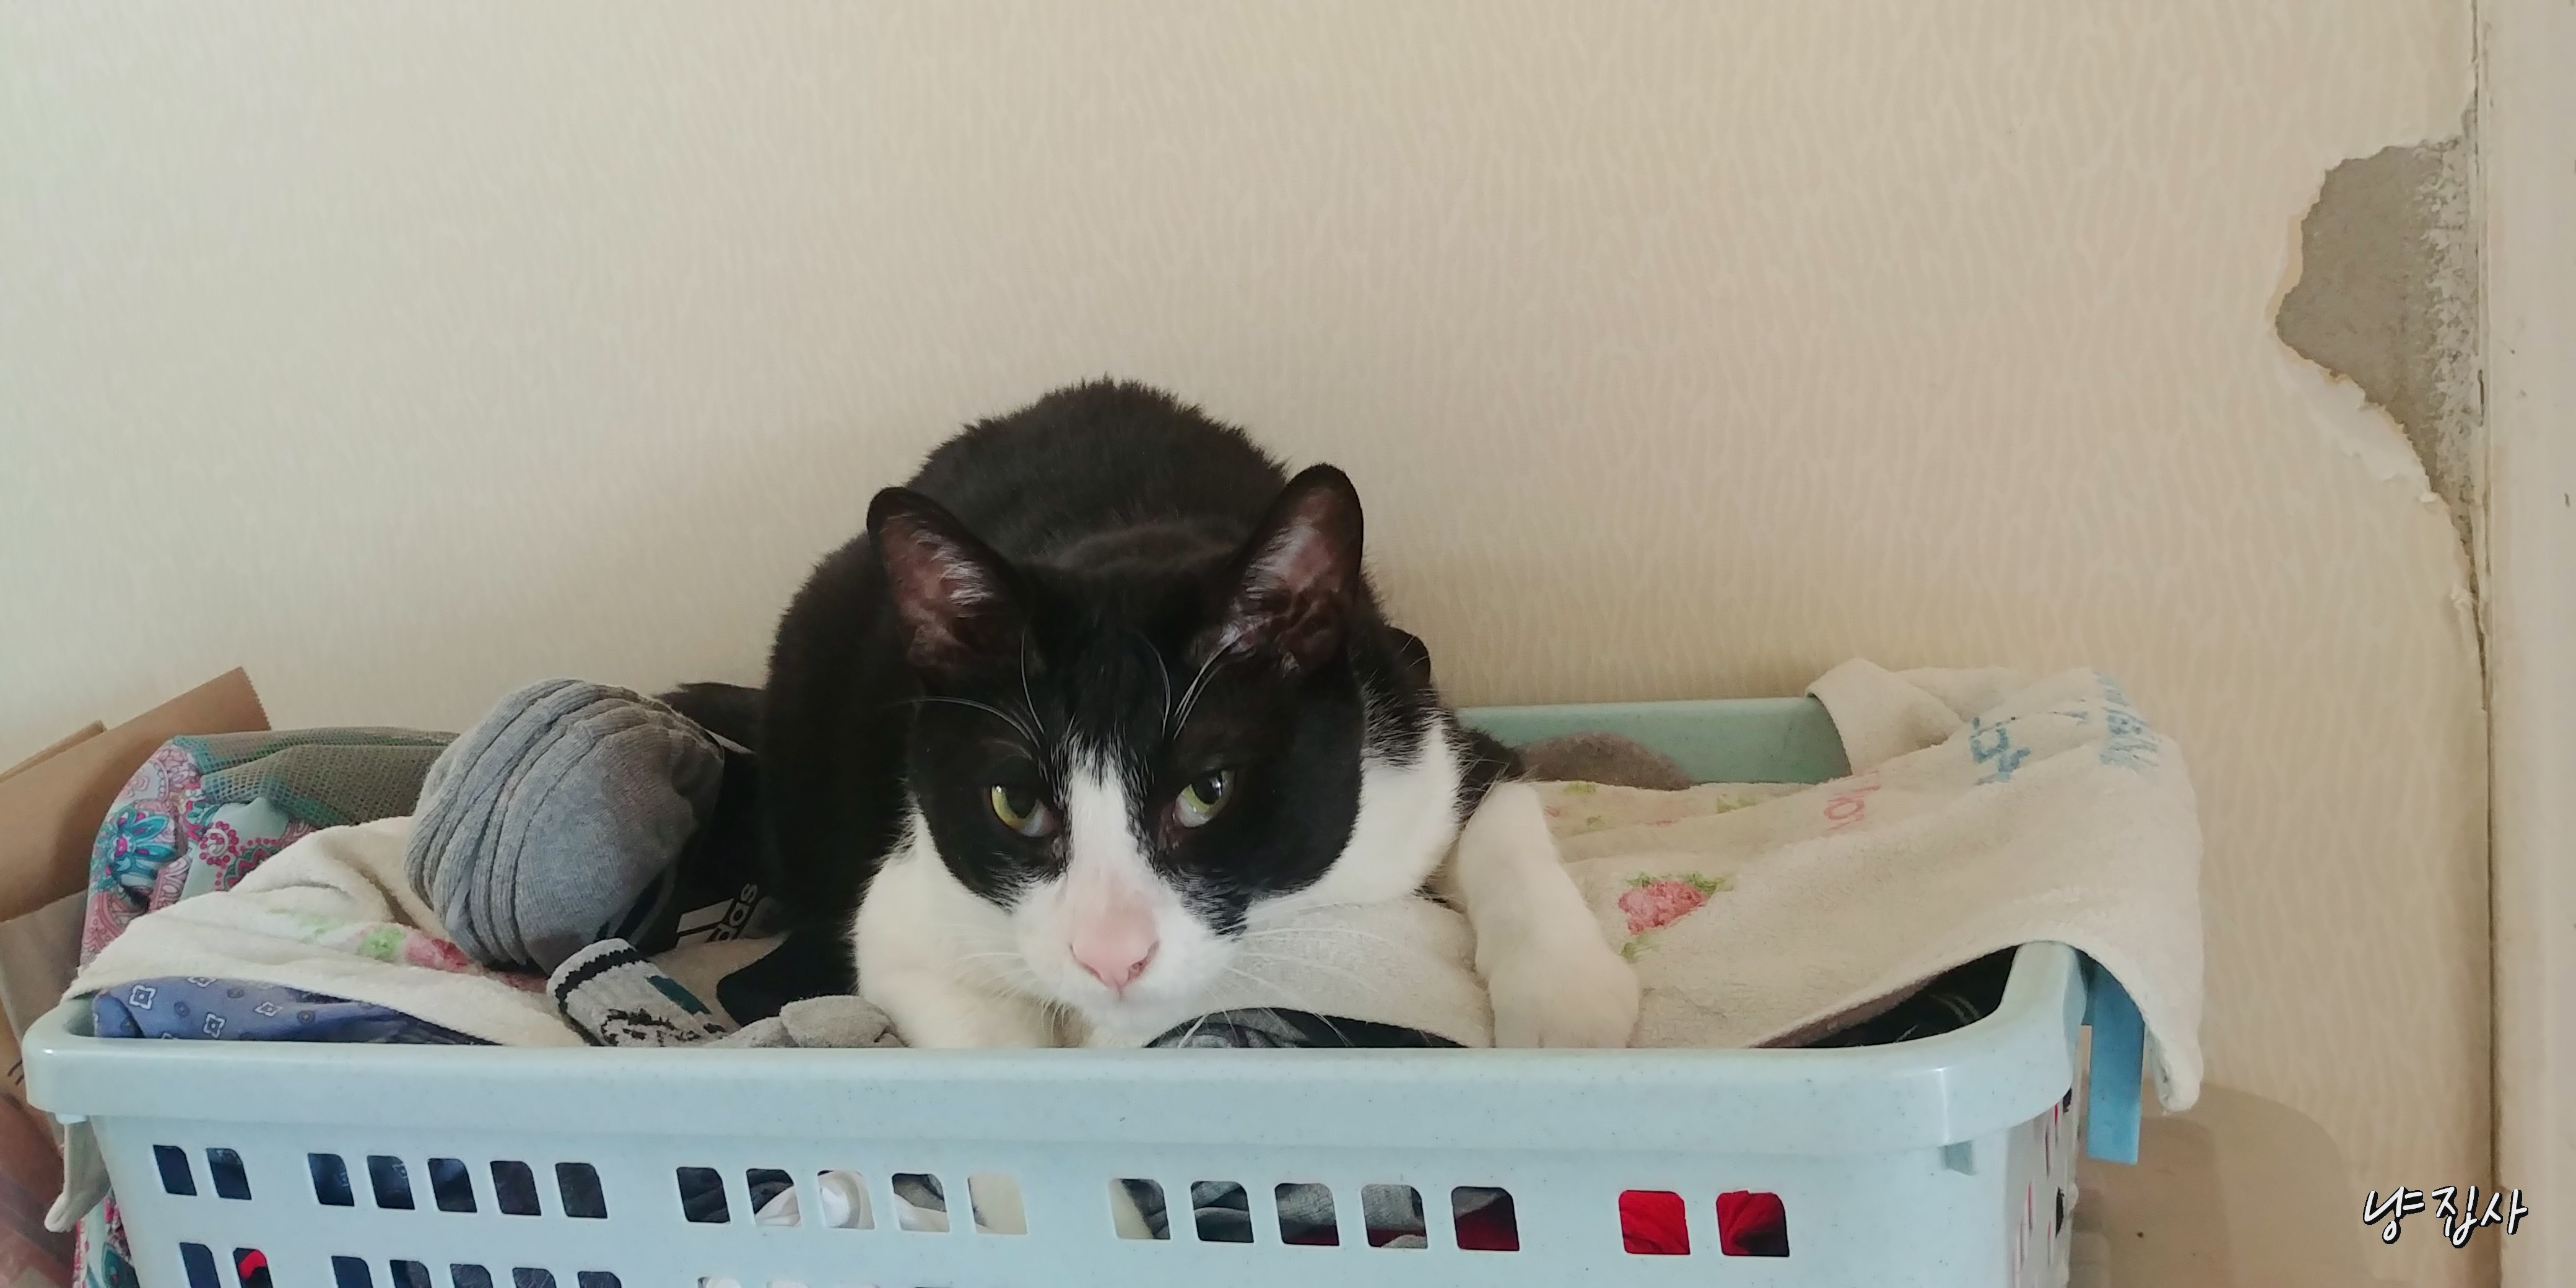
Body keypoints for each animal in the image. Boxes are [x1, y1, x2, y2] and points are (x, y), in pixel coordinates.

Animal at [714, 380, 1638, 1048]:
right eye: (1015, 802)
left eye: (1207, 792)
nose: (1110, 956)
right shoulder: (911, 915)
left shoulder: (1416, 745)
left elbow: (1504, 807)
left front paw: (1568, 1004)